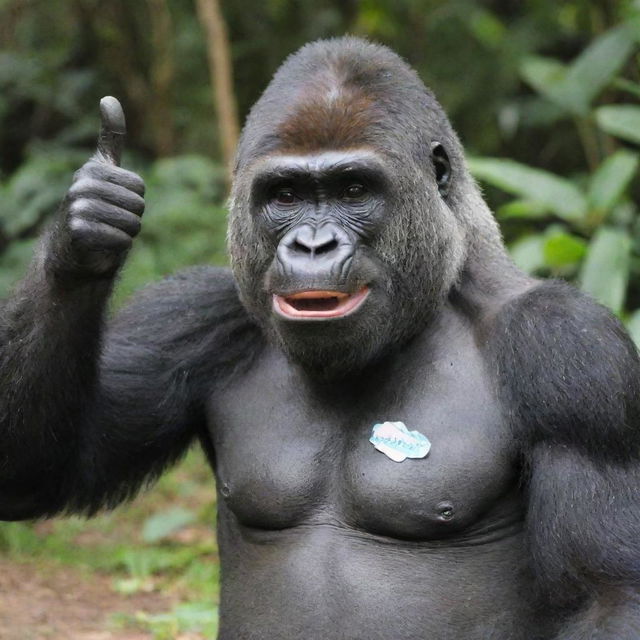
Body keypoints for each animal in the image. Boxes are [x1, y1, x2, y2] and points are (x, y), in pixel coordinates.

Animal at [1, 37, 640, 636]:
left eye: (354, 190)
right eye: (285, 195)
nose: (312, 245)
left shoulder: (573, 352)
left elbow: (611, 595)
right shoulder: (191, 316)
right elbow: (46, 469)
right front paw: (84, 236)